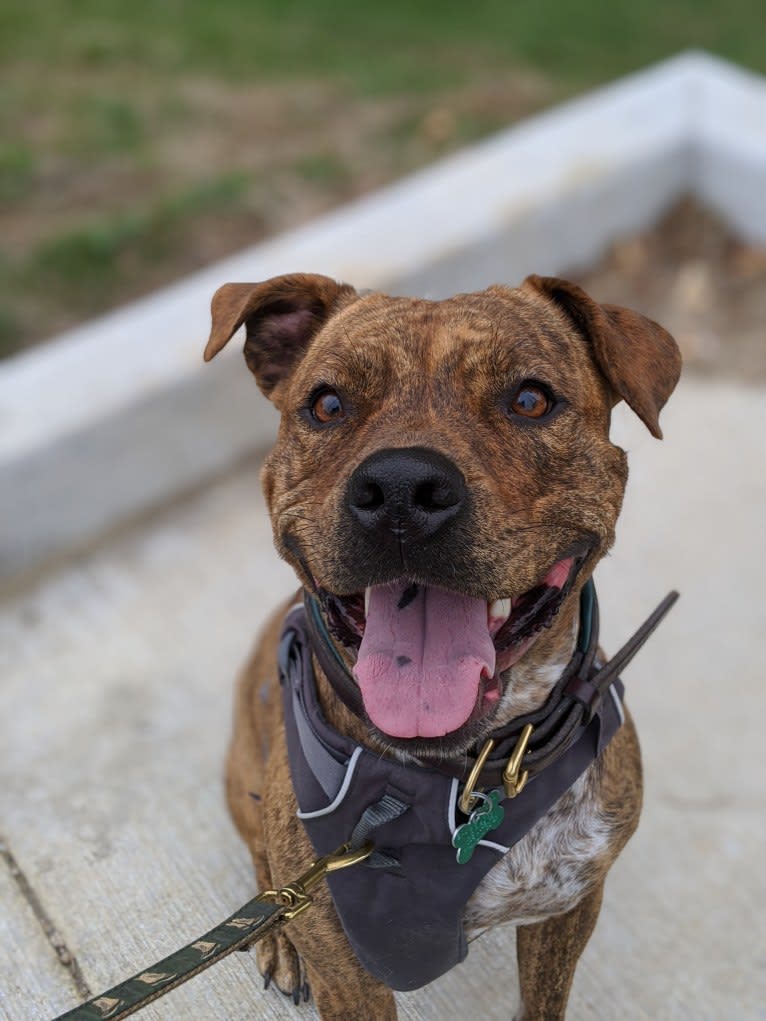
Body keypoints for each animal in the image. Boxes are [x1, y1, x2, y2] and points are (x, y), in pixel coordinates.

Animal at [202, 273, 678, 1021]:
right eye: (327, 404)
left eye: (530, 399)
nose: (401, 486)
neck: (465, 773)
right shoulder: (349, 970)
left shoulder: (569, 906)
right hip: (244, 777)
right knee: (264, 870)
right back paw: (275, 937)